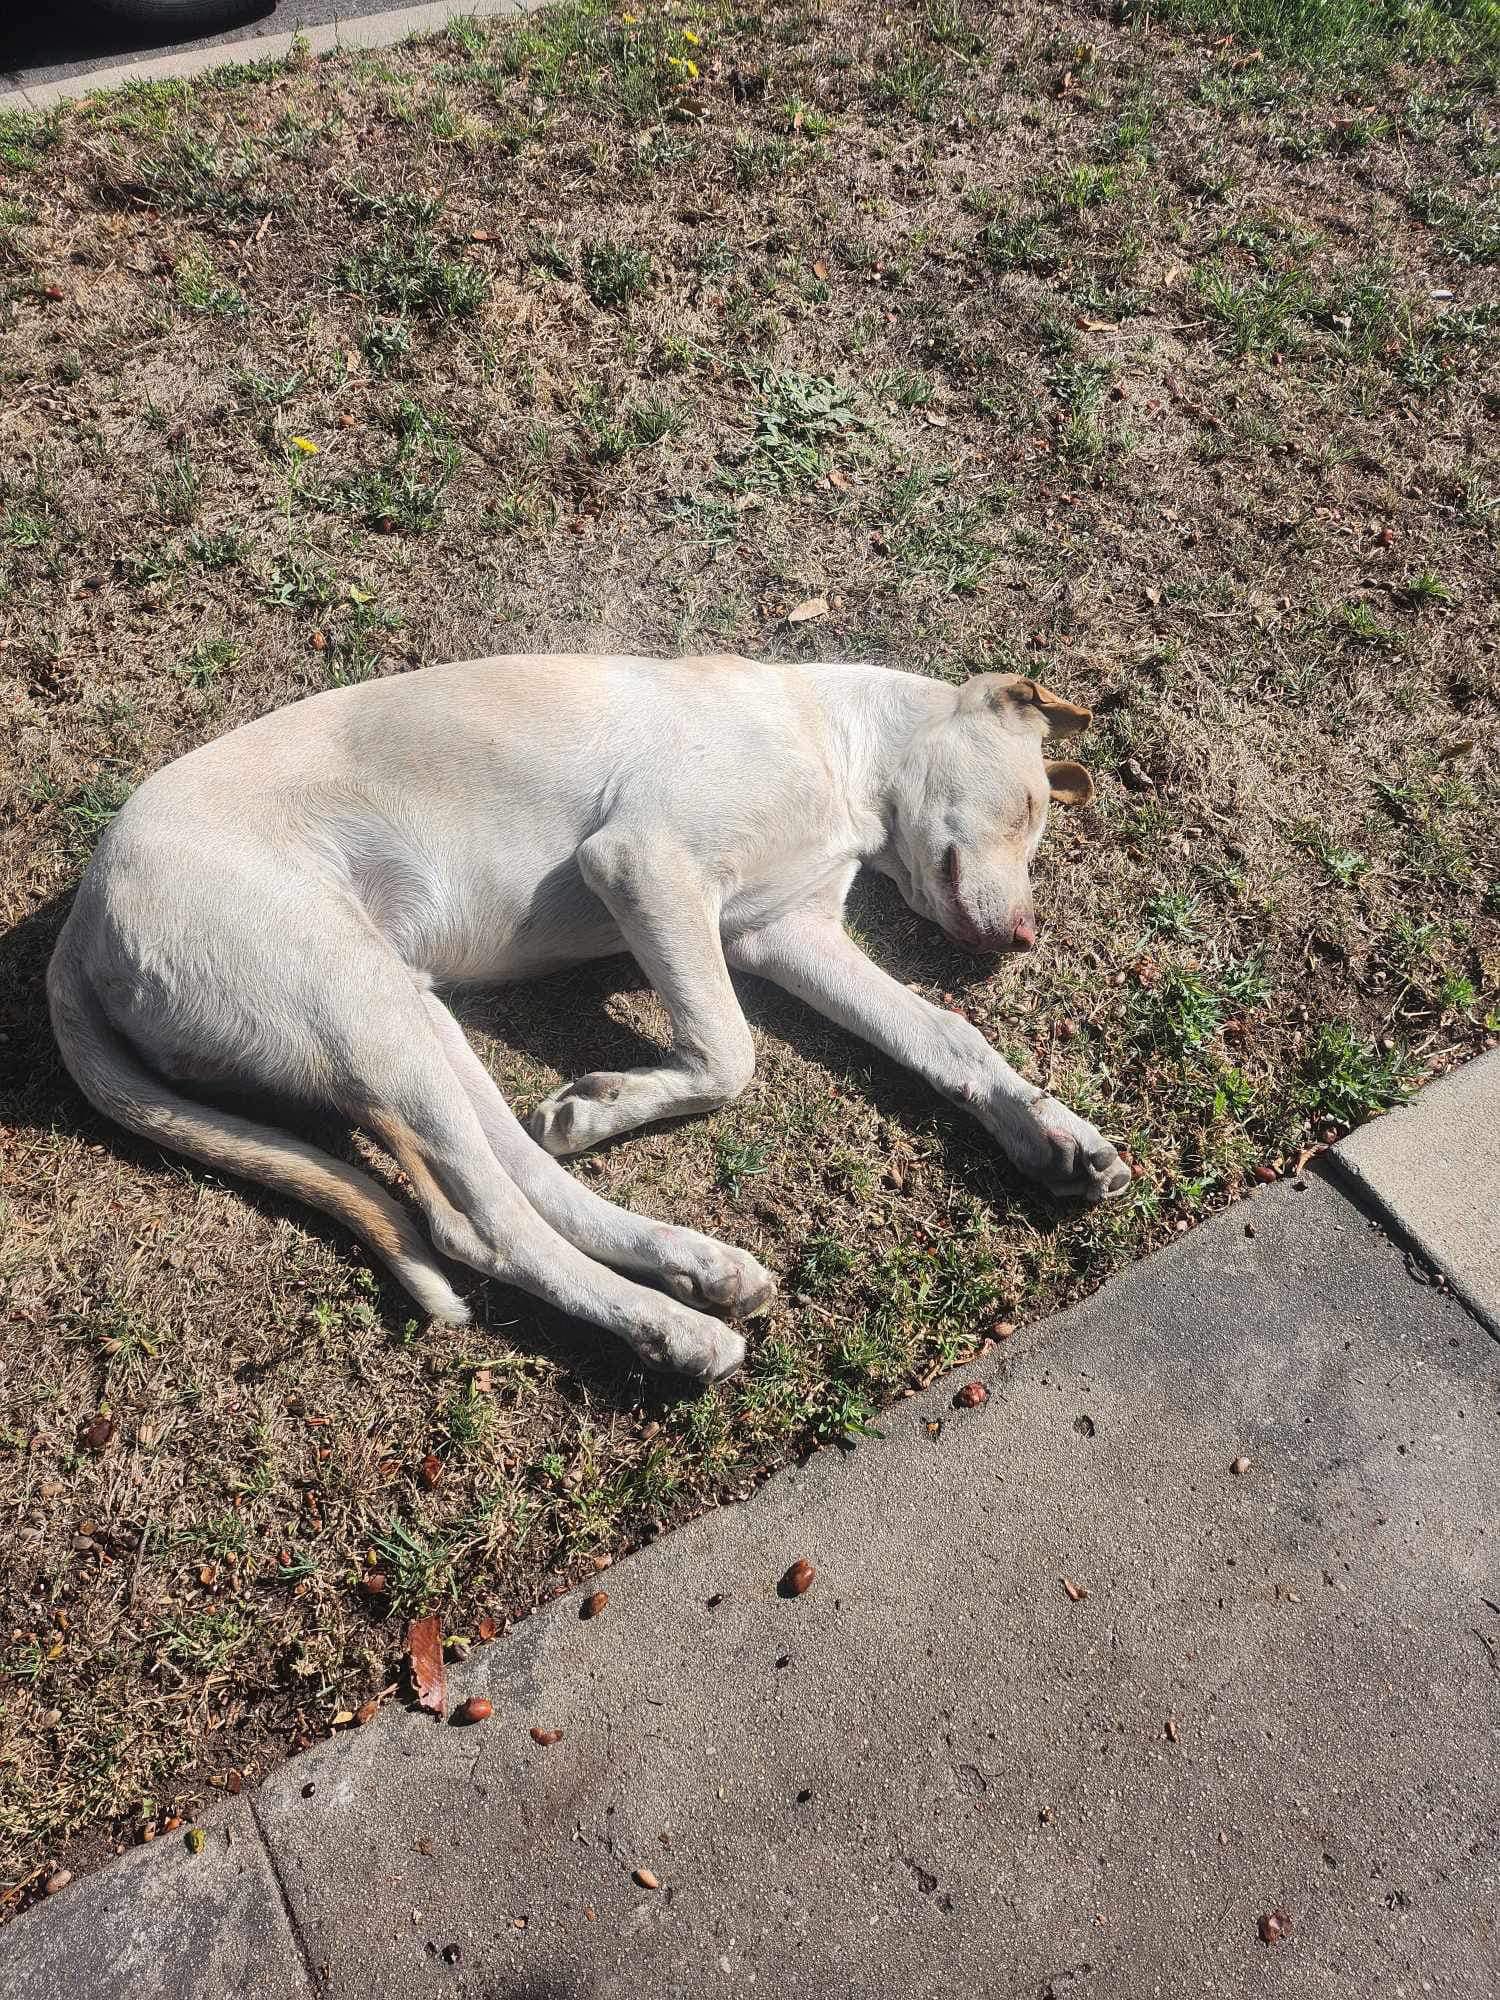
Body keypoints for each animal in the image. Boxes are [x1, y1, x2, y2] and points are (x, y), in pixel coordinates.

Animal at [44, 656, 1128, 1376]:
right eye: (1028, 809)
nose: (1024, 937)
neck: (836, 747)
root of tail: (82, 920)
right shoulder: (646, 864)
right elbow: (730, 1052)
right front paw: (627, 1100)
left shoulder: (785, 931)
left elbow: (945, 1036)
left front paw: (1057, 1133)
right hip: (359, 1012)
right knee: (485, 1228)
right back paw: (675, 1329)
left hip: (411, 1015)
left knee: (524, 1182)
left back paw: (695, 1264)